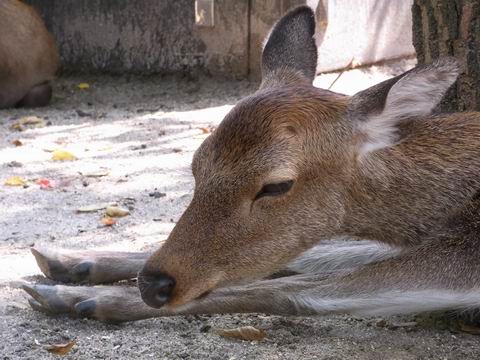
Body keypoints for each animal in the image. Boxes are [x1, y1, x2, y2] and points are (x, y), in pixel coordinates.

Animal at [22, 5, 480, 322]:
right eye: (196, 164)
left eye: (276, 185)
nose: (155, 285)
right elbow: (311, 256)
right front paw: (69, 262)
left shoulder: (466, 257)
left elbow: (299, 288)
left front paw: (89, 298)